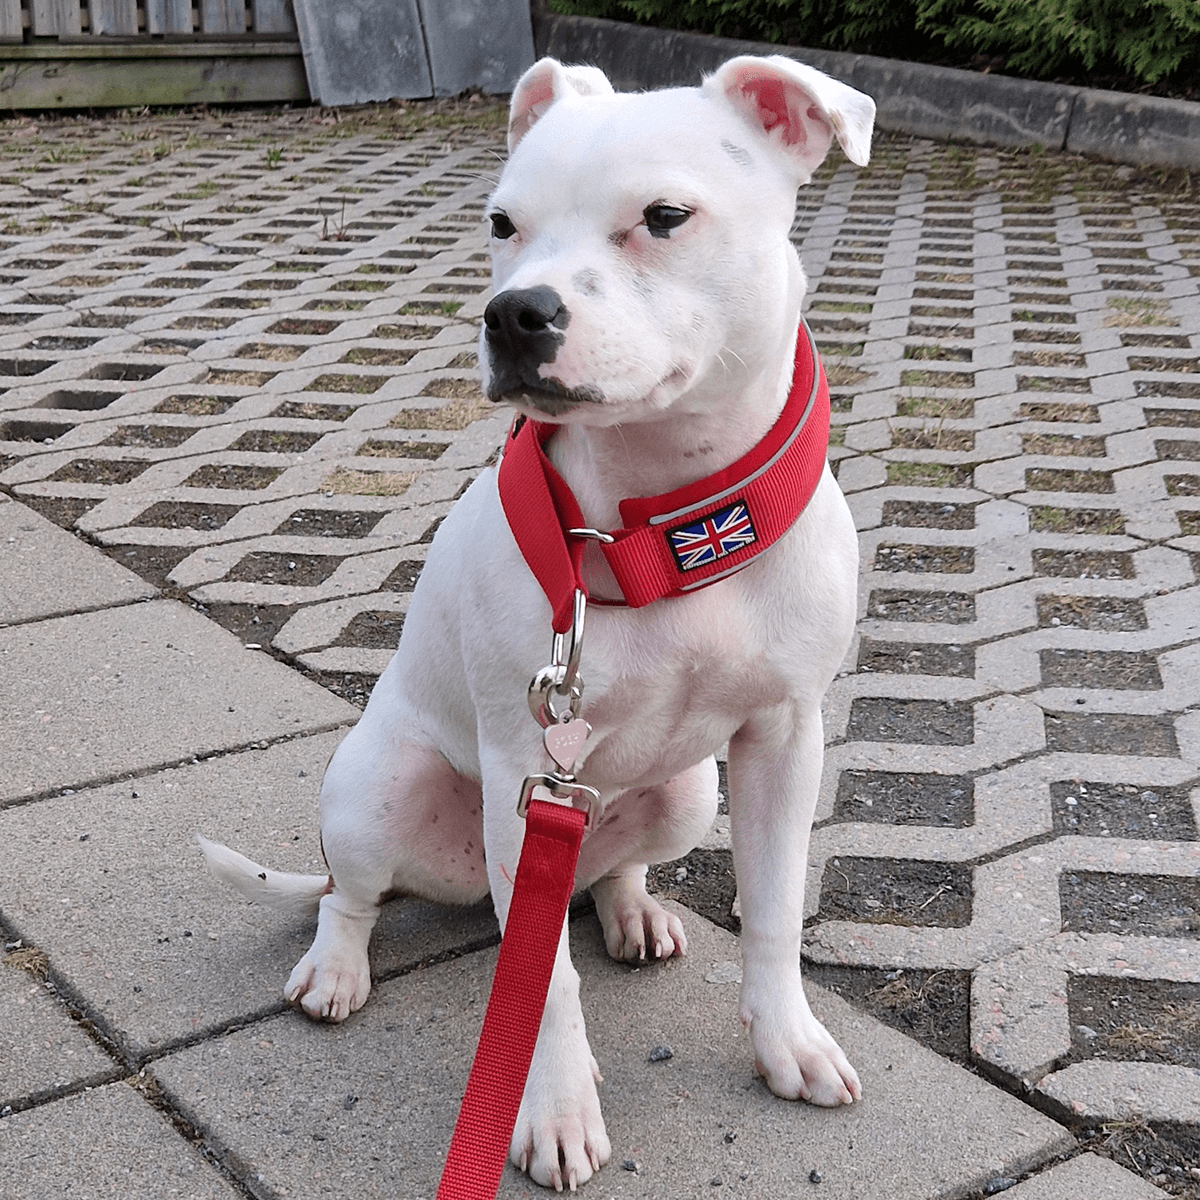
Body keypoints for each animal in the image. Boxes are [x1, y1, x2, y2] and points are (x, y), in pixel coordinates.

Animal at [204, 54, 873, 1190]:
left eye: (665, 216)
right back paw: (334, 969)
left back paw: (634, 909)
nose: (513, 314)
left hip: (687, 791)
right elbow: (541, 990)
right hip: (381, 791)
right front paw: (554, 1114)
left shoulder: (785, 740)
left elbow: (777, 913)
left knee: (604, 871)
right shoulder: (527, 771)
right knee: (354, 895)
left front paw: (791, 1043)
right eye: (502, 222)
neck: (660, 522)